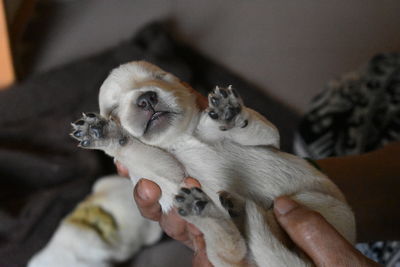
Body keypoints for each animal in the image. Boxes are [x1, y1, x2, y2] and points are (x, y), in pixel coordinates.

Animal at [70, 61, 354, 266]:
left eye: (160, 77)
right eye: (114, 109)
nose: (146, 98)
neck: (182, 137)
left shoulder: (268, 137)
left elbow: (256, 128)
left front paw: (229, 114)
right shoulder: (166, 176)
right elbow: (143, 154)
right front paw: (103, 133)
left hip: (312, 203)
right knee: (233, 249)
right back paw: (210, 210)